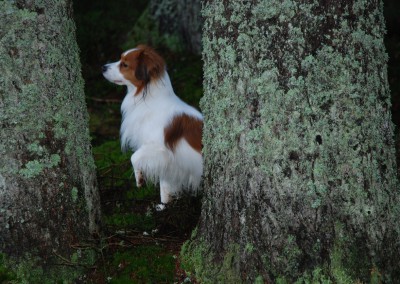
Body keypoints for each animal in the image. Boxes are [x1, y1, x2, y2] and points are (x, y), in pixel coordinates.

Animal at [103, 43, 203, 209]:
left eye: (124, 64)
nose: (103, 67)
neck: (149, 100)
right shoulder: (167, 159)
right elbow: (165, 185)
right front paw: (164, 206)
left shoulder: (158, 147)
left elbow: (134, 156)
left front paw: (139, 178)